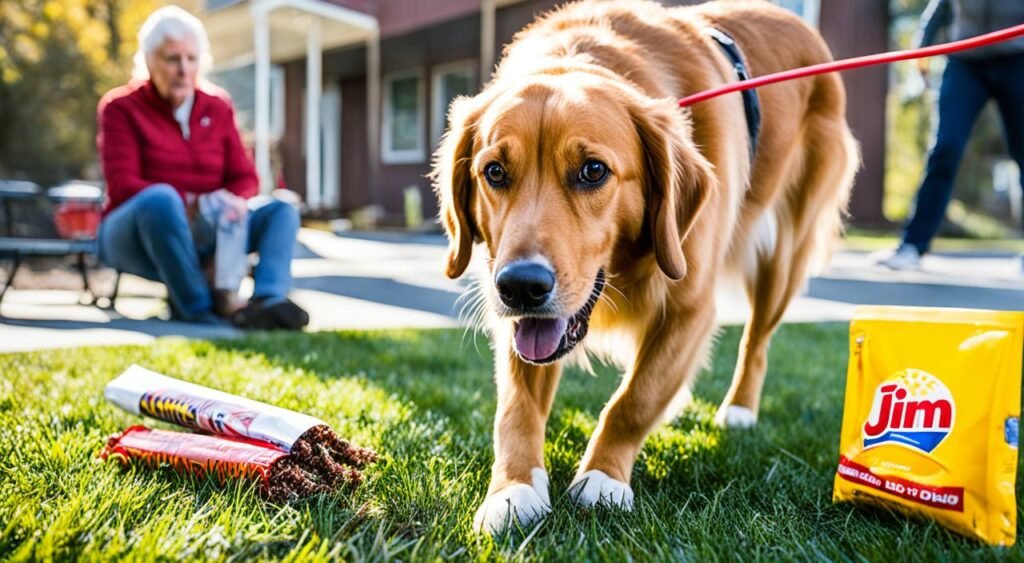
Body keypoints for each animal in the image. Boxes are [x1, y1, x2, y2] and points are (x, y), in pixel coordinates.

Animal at [432, 0, 856, 532]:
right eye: (494, 172)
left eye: (593, 171)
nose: (521, 287)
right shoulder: (518, 320)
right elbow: (515, 407)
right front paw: (514, 488)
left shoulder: (690, 309)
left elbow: (633, 400)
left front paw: (602, 479)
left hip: (785, 254)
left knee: (756, 340)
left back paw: (739, 409)